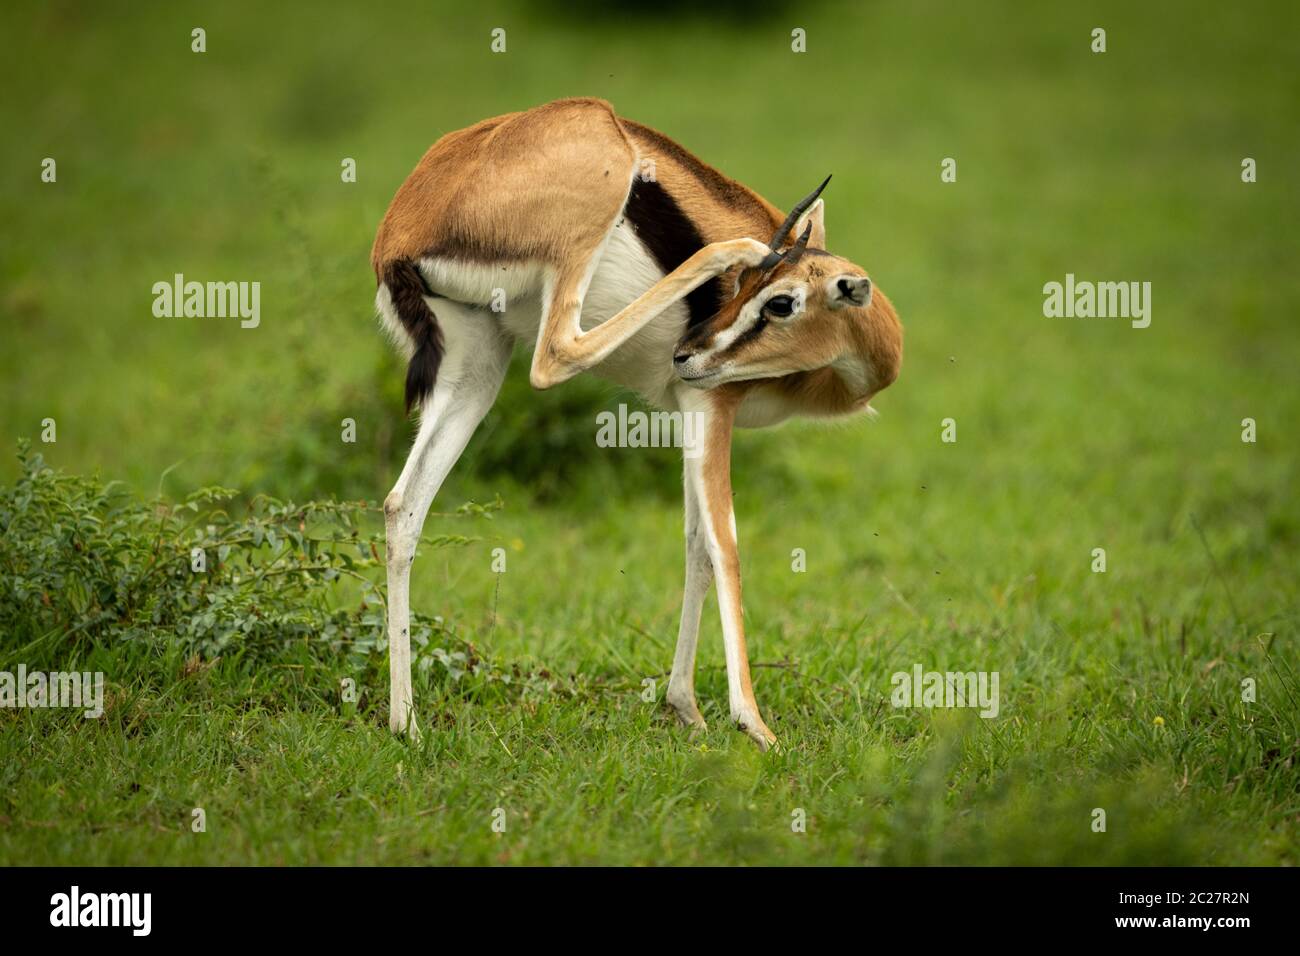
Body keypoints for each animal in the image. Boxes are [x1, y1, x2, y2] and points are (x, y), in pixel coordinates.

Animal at [372, 97, 902, 750]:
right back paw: (733, 247)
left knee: (404, 506)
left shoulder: (689, 416)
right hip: (584, 210)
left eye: (779, 302)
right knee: (557, 353)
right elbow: (724, 548)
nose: (687, 354)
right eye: (762, 296)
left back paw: (406, 723)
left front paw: (686, 708)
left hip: (476, 367)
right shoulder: (710, 405)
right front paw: (754, 726)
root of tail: (401, 231)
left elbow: (695, 546)